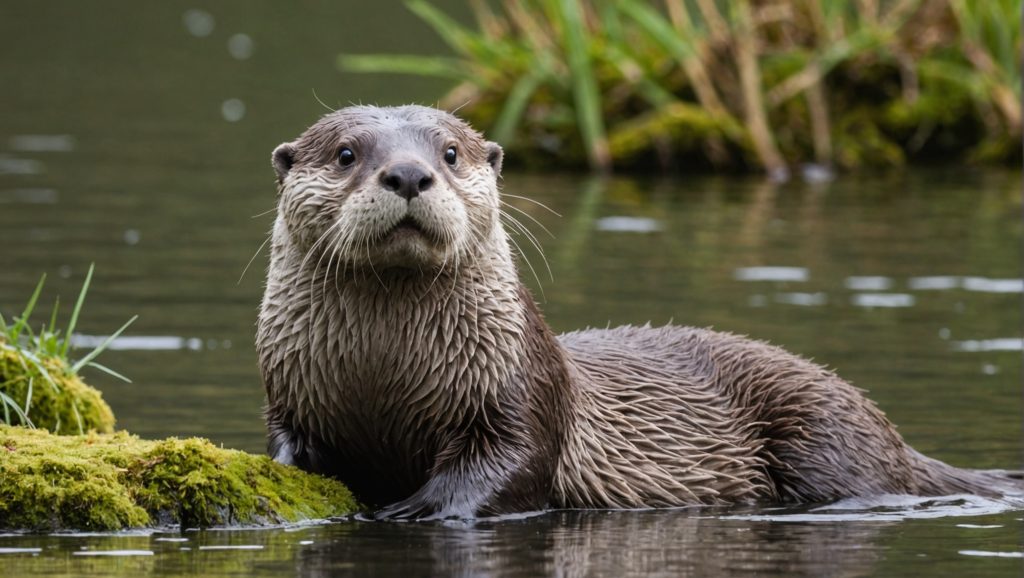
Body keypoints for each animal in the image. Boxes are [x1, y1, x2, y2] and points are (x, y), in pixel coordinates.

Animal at [256, 104, 1015, 518]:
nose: (410, 174)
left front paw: (418, 507)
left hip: (823, 428)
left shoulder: (520, 390)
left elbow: (510, 464)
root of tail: (891, 433)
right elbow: (286, 451)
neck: (381, 379)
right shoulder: (288, 393)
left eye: (448, 153)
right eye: (347, 153)